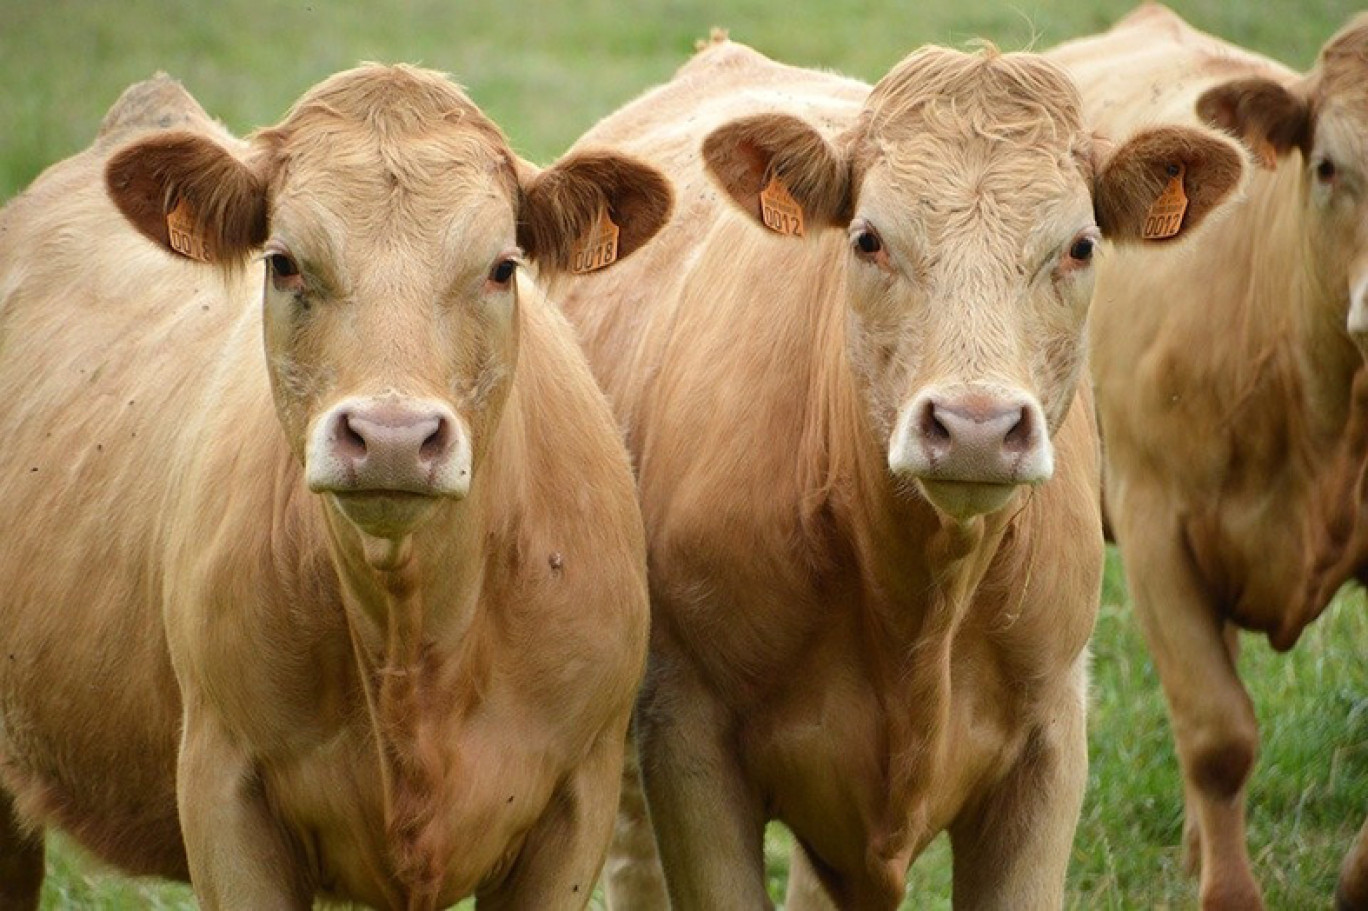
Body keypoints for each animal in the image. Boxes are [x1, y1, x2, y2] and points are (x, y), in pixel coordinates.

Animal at [538, 35, 1247, 908]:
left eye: (1080, 246)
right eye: (869, 237)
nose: (976, 427)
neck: (921, 597)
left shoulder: (1050, 745)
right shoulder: (688, 739)